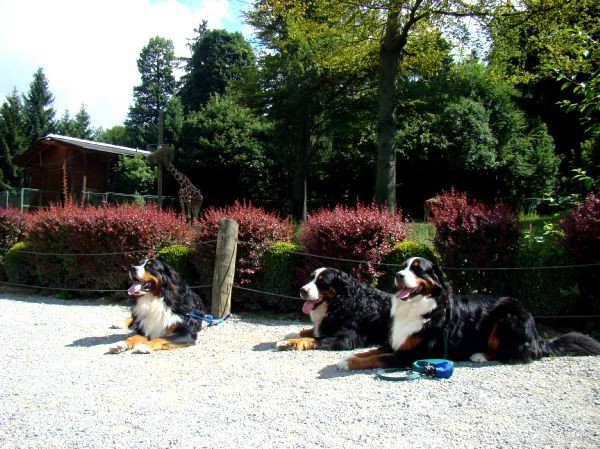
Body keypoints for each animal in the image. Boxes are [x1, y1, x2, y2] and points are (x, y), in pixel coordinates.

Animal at [338, 258, 600, 370]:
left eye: (418, 270)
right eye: (403, 267)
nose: (398, 275)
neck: (418, 306)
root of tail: (536, 336)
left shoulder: (412, 354)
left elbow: (375, 359)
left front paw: (348, 363)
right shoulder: (395, 342)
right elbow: (370, 352)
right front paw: (347, 359)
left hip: (508, 316)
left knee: (516, 354)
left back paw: (480, 356)